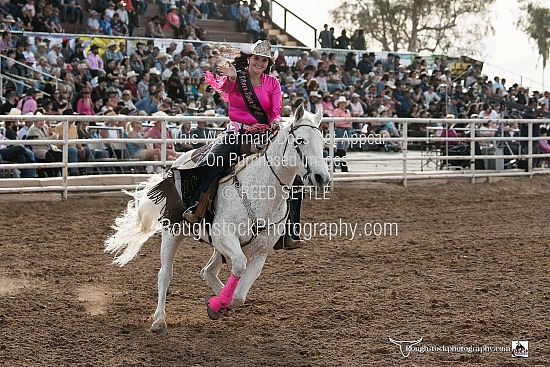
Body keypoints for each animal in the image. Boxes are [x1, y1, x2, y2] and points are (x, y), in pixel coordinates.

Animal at [105, 105, 330, 332]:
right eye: (300, 140)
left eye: (323, 143)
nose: (322, 177)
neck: (260, 190)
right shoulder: (224, 237)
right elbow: (238, 265)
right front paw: (216, 304)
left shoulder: (259, 253)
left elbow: (239, 296)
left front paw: (219, 304)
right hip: (173, 231)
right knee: (165, 274)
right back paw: (159, 319)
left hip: (219, 246)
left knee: (207, 271)